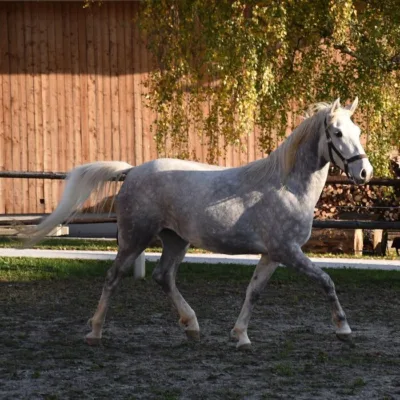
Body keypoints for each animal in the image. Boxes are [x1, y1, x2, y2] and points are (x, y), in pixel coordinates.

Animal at [27, 98, 372, 348]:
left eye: (357, 131)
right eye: (337, 133)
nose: (364, 172)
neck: (287, 186)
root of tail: (133, 171)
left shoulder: (272, 254)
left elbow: (253, 292)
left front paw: (240, 336)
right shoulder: (288, 251)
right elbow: (326, 281)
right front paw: (344, 329)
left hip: (175, 239)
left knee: (163, 277)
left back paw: (192, 327)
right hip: (135, 238)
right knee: (113, 277)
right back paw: (95, 332)